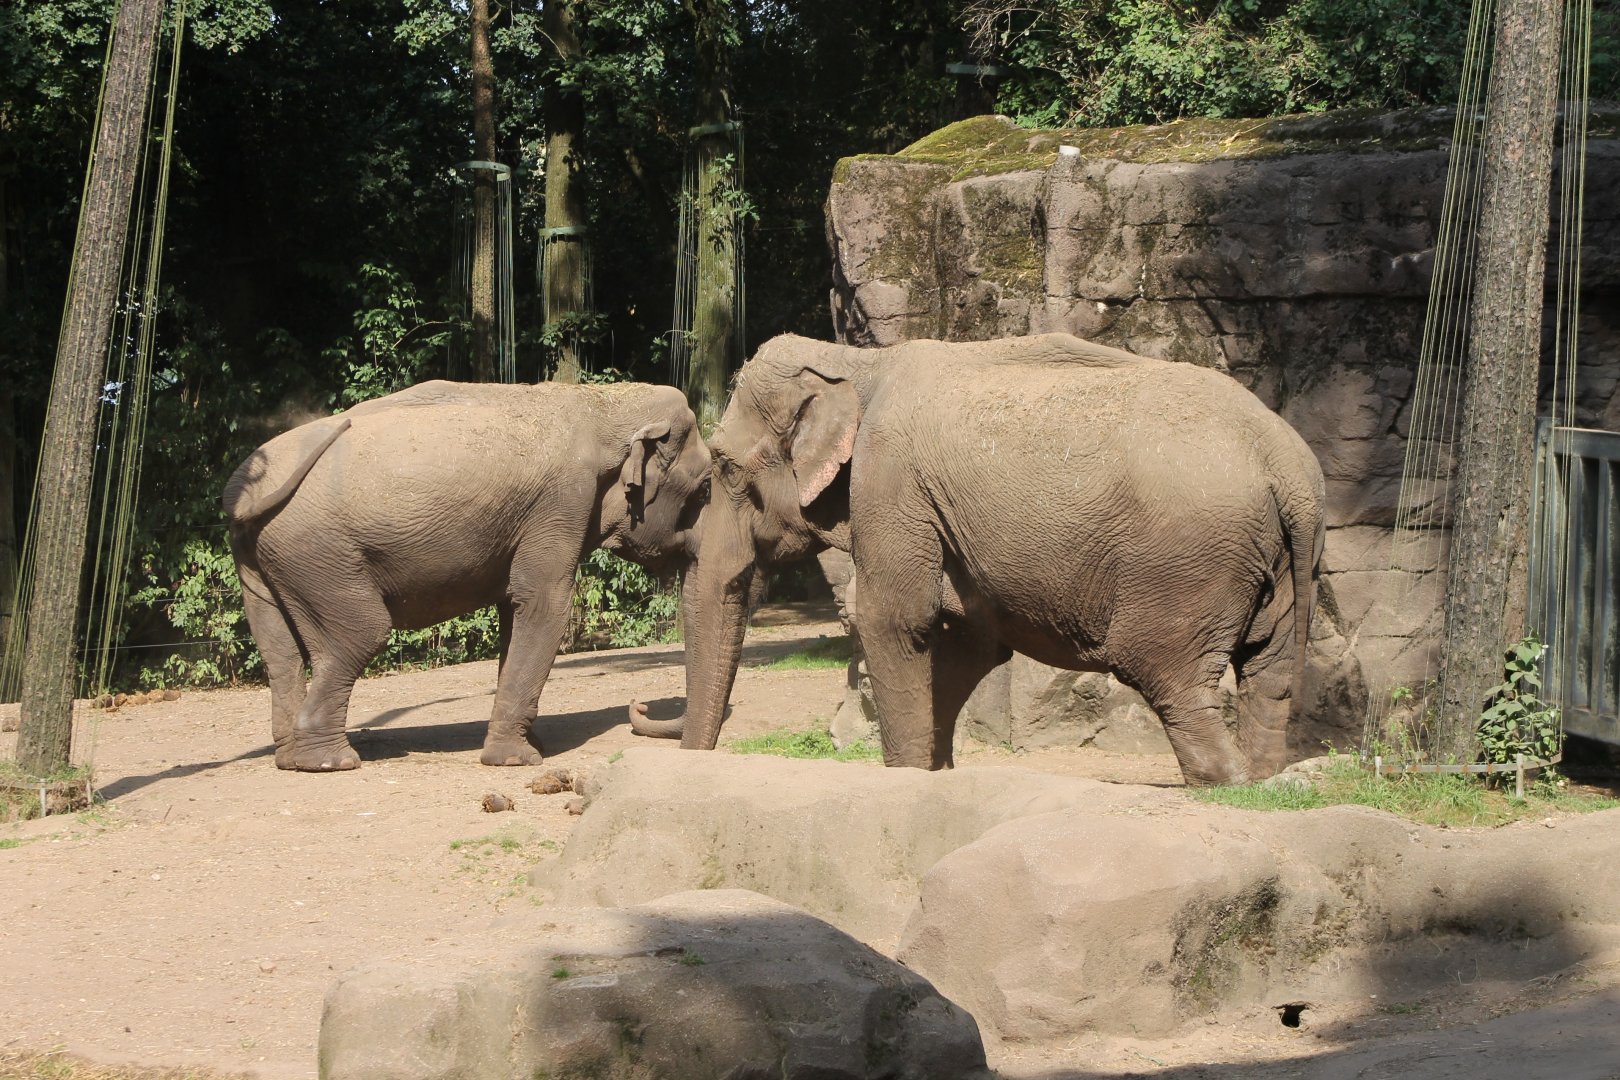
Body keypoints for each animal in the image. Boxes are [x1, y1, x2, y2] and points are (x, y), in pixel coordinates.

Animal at [225, 379, 709, 772]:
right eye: (705, 487)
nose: (640, 703)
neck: (602, 402)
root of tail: (240, 492)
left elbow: (515, 610)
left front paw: (528, 745)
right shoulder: (562, 502)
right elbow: (544, 605)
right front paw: (519, 761)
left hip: (265, 560)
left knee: (280, 652)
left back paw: (291, 757)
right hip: (318, 553)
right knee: (362, 632)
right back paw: (331, 761)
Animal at [631, 333, 1325, 786]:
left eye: (724, 467)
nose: (644, 709)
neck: (858, 361)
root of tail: (1287, 464)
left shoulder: (892, 482)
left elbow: (895, 621)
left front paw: (906, 777)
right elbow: (969, 641)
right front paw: (937, 773)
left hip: (1186, 566)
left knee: (1170, 676)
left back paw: (1224, 783)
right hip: (1282, 565)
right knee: (1271, 670)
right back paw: (1264, 779)